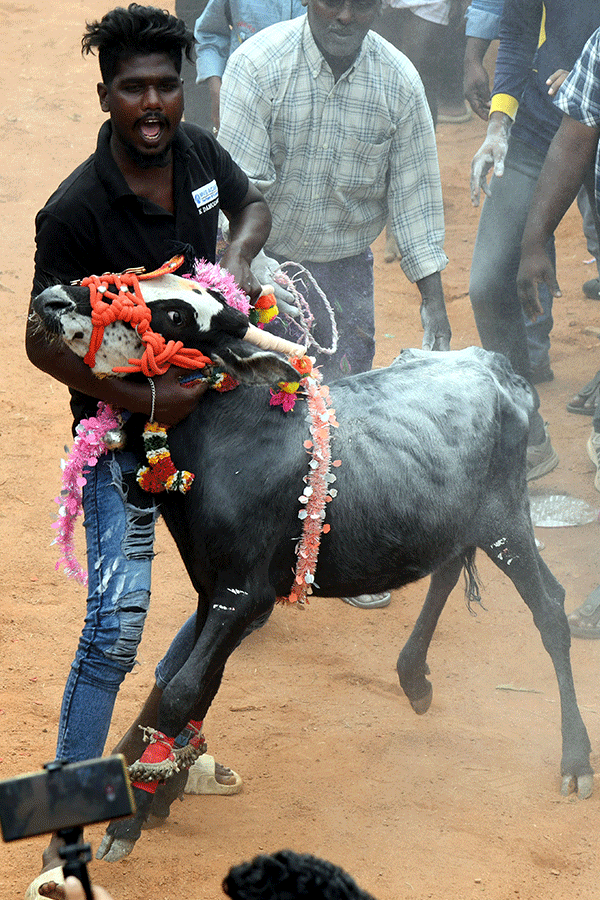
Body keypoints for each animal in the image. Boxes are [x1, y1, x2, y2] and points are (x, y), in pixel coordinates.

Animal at [30, 270, 592, 860]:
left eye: (178, 315)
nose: (54, 299)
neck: (223, 433)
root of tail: (498, 368)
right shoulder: (213, 592)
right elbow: (201, 683)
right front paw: (162, 790)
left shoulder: (243, 595)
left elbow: (182, 691)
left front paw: (130, 822)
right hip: (452, 518)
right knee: (447, 569)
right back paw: (413, 677)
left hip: (507, 522)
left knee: (551, 610)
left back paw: (575, 758)